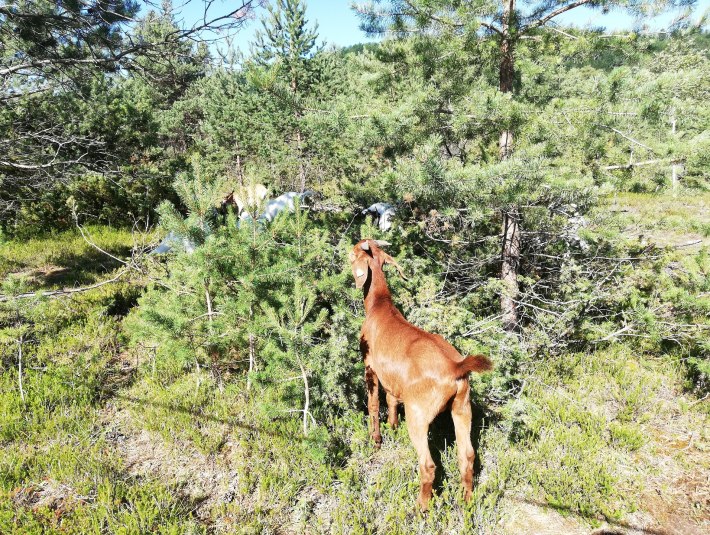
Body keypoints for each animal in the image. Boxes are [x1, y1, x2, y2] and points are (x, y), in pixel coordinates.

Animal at [349, 239, 492, 510]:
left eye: (354, 252)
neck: (380, 305)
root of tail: (454, 367)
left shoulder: (370, 367)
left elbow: (373, 405)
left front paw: (376, 440)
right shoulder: (393, 381)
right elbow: (391, 401)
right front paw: (392, 426)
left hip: (418, 413)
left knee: (428, 465)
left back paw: (420, 509)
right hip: (462, 407)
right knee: (467, 455)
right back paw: (466, 502)